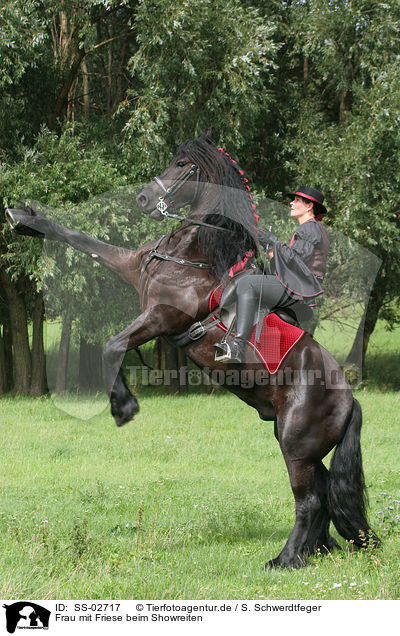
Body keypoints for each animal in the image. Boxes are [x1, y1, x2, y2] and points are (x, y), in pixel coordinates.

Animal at [6, 129, 378, 568]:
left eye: (183, 165)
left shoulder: (162, 317)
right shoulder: (131, 268)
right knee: (321, 497)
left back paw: (284, 560)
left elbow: (113, 346)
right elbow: (82, 240)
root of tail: (348, 397)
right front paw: (24, 217)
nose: (144, 199)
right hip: (303, 446)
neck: (192, 254)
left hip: (296, 446)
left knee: (309, 501)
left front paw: (123, 408)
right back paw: (312, 551)